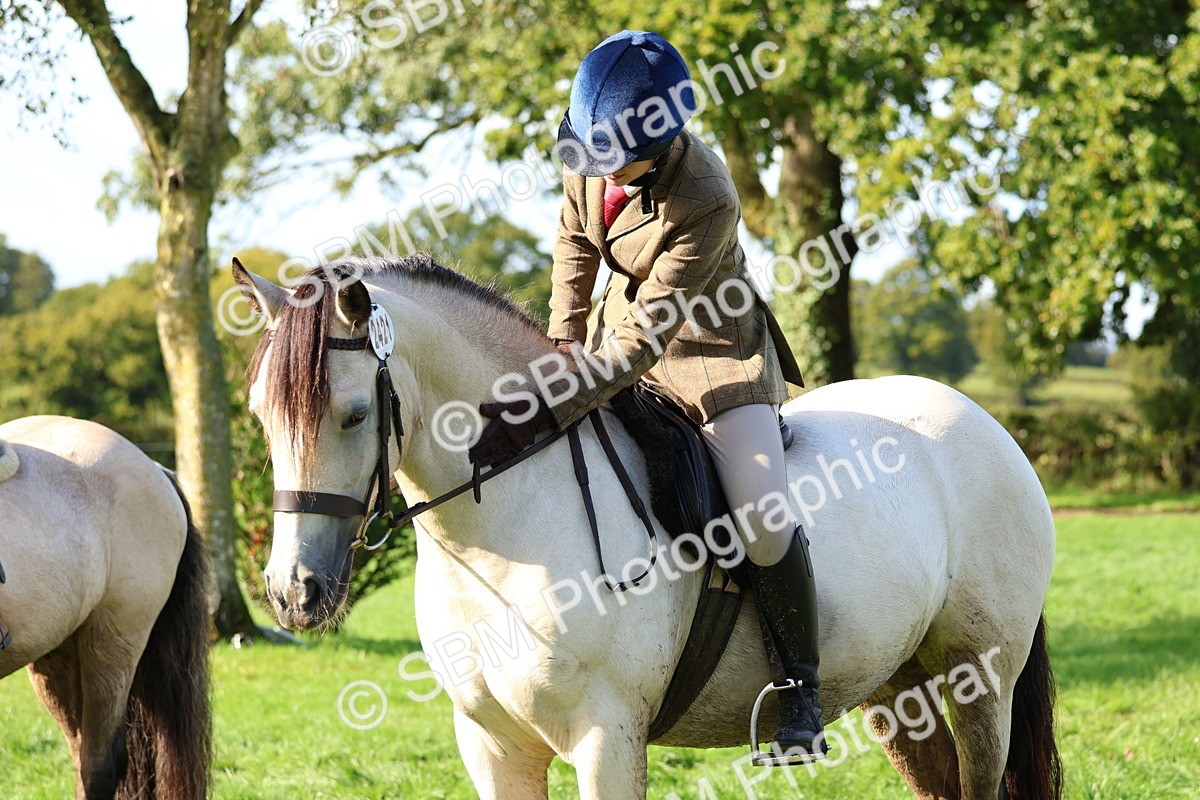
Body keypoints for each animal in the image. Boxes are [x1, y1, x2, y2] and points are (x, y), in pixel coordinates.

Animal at [234, 254, 1061, 800]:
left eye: (354, 415)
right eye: (262, 418)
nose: (293, 593)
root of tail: (981, 422)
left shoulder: (605, 739)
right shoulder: (493, 746)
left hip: (979, 679)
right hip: (898, 686)